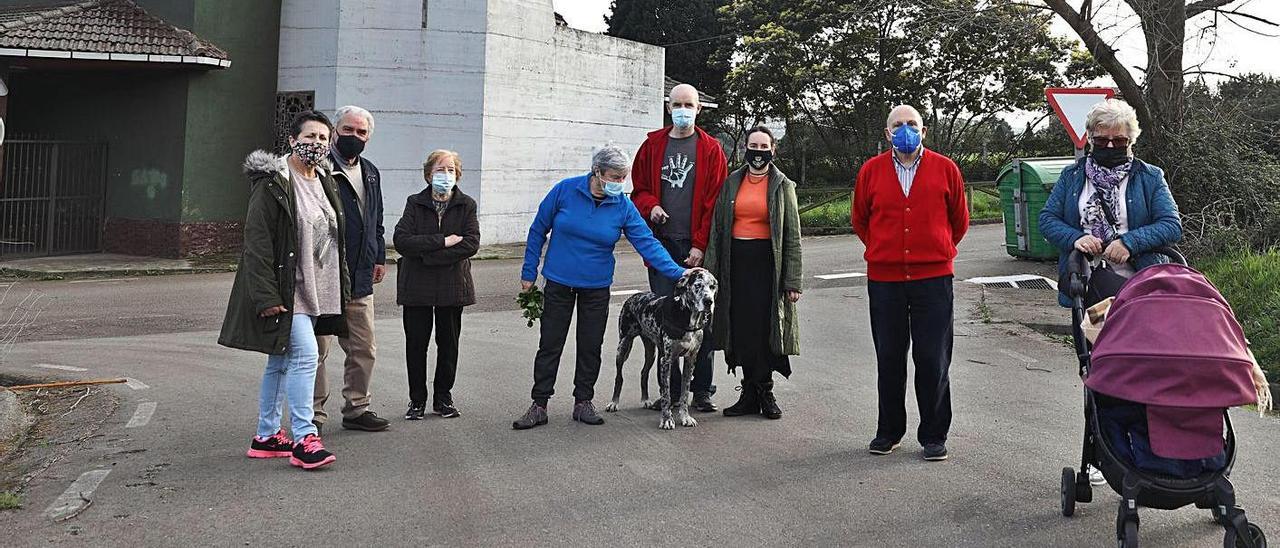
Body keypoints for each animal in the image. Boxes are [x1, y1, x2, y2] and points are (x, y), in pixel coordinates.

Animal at [601, 267, 716, 430]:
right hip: (623, 346)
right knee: (619, 376)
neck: (687, 317)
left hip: (651, 352)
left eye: (712, 286)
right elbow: (666, 394)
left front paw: (686, 417)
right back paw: (613, 403)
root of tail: (634, 296)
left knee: (644, 372)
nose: (708, 301)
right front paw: (667, 419)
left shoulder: (690, 359)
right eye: (698, 285)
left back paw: (645, 400)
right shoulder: (666, 360)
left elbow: (685, 392)